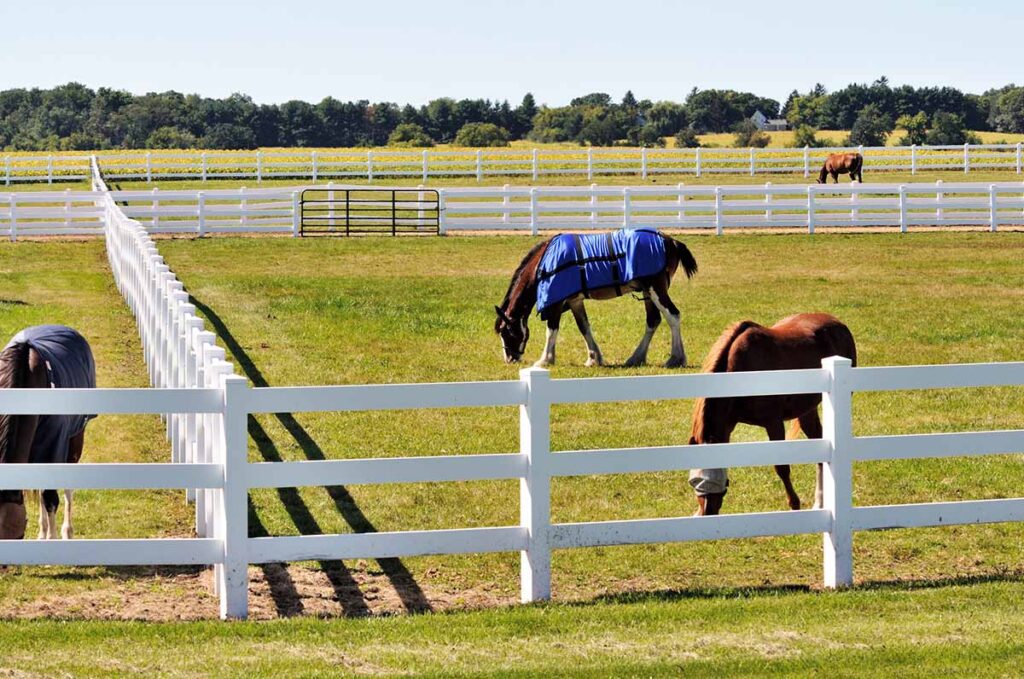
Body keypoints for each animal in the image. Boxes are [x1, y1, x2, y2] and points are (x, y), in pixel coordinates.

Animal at [0, 325, 96, 541]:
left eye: (19, 536)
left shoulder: (53, 448)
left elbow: (50, 497)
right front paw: (44, 533)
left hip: (75, 440)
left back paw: (67, 531)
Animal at [495, 228, 697, 368]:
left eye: (506, 332)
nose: (510, 358)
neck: (545, 262)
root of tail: (671, 241)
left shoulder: (556, 302)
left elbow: (551, 330)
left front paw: (545, 359)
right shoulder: (575, 301)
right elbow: (584, 327)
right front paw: (594, 358)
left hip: (656, 290)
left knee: (673, 316)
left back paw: (676, 358)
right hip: (648, 293)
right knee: (653, 320)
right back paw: (636, 357)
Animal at [687, 313, 857, 516]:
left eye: (725, 484)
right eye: (693, 483)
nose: (708, 512)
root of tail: (837, 322)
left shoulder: (774, 423)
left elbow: (781, 467)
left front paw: (794, 504)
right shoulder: (728, 425)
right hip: (806, 410)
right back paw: (819, 503)